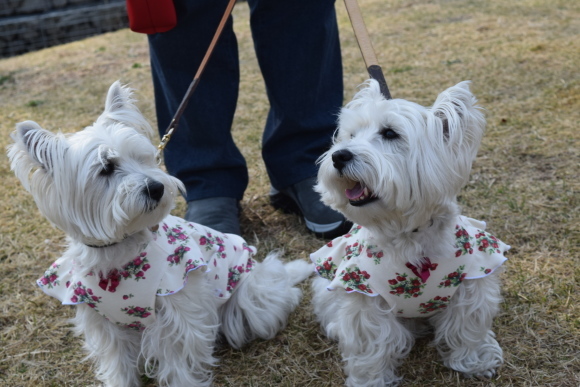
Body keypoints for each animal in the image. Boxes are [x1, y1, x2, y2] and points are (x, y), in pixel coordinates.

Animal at [7, 80, 312, 386]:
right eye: (106, 168)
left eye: (142, 159)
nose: (156, 188)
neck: (119, 250)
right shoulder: (103, 323)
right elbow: (117, 362)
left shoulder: (177, 312)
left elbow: (178, 361)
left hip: (250, 300)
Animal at [312, 80, 508, 386]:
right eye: (350, 135)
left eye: (390, 133)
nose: (338, 155)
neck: (408, 233)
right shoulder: (365, 297)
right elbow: (371, 347)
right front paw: (370, 381)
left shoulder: (472, 280)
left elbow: (467, 328)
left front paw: (476, 363)